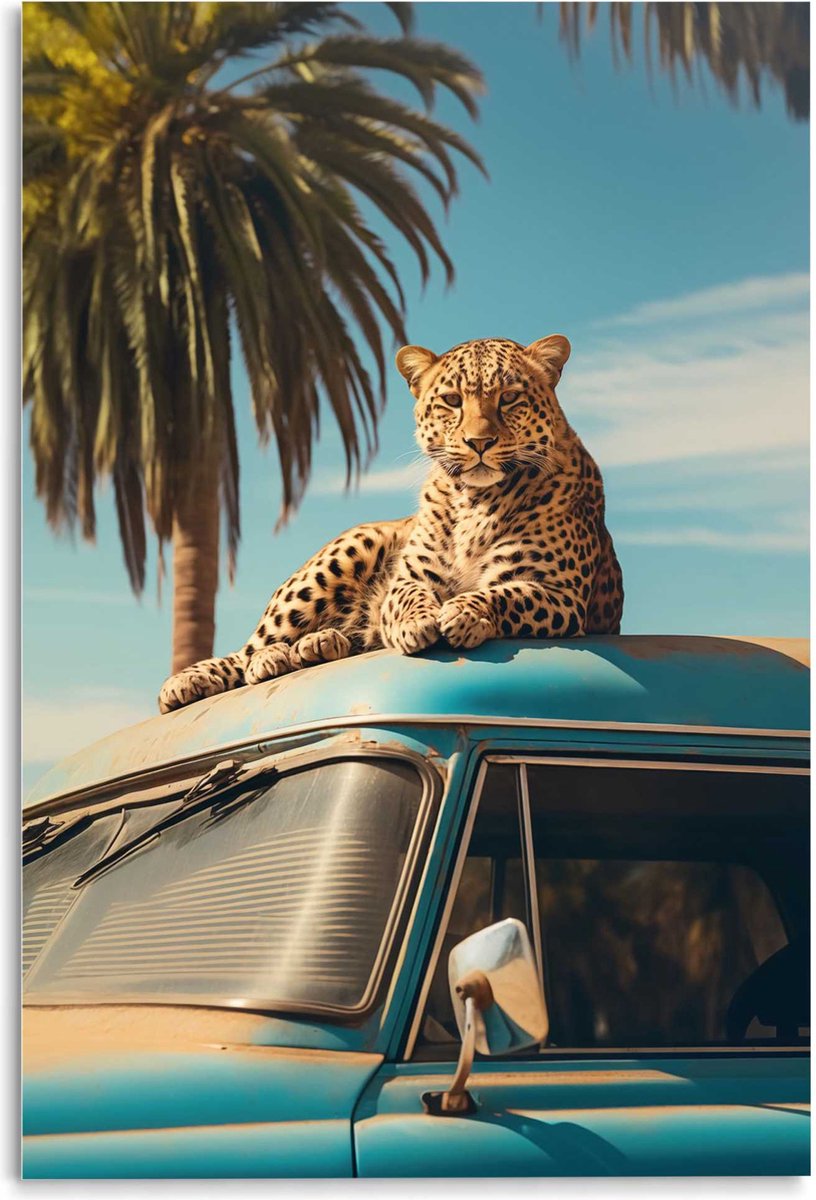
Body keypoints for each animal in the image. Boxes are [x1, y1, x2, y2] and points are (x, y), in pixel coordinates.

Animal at [158, 334, 623, 714]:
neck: (475, 500)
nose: (479, 442)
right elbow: (407, 597)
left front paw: (464, 614)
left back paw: (316, 646)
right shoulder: (410, 577)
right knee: (249, 649)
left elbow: (504, 594)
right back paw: (215, 673)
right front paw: (419, 622)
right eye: (452, 400)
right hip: (350, 549)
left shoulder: (558, 593)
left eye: (509, 398)